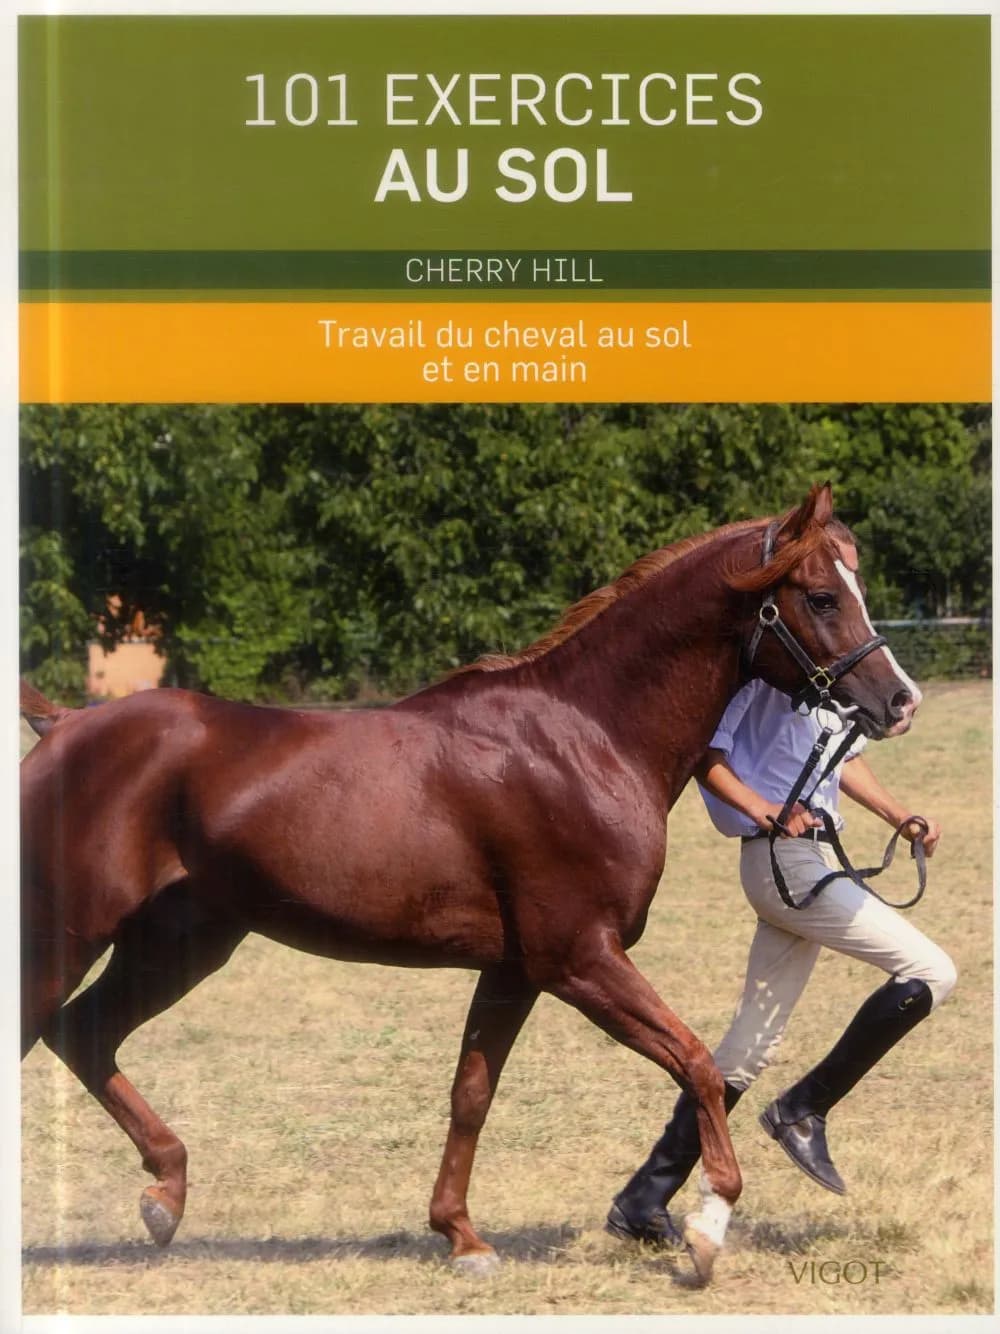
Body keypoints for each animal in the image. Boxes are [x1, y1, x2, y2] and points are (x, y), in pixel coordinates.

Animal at [20, 484, 920, 1286]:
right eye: (820, 597)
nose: (898, 701)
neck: (586, 735)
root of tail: (65, 725)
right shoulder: (579, 959)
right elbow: (696, 1062)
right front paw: (706, 1230)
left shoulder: (514, 971)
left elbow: (472, 1094)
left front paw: (460, 1236)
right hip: (64, 941)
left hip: (180, 945)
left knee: (85, 1036)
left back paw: (165, 1195)